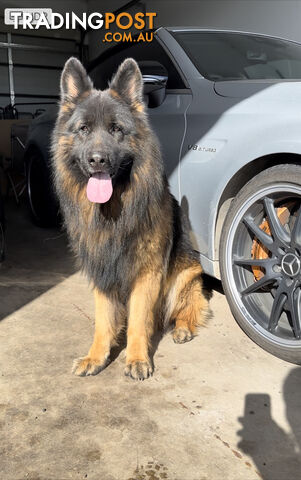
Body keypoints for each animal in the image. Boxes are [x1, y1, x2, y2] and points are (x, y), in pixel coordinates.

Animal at [51, 57, 207, 378]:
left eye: (116, 130)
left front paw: (136, 358)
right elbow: (103, 320)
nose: (97, 160)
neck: (112, 212)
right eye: (83, 129)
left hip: (184, 276)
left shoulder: (147, 272)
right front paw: (96, 356)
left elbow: (137, 319)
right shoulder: (102, 269)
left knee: (189, 307)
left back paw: (183, 328)